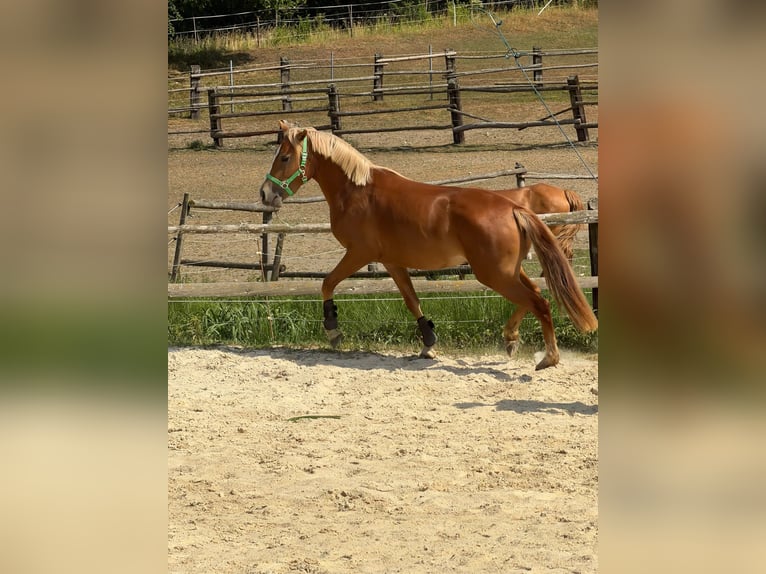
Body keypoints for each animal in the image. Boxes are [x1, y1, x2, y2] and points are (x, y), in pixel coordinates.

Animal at [260, 121, 597, 370]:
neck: (357, 192)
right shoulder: (392, 261)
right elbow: (412, 301)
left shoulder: (359, 253)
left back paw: (549, 357)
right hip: (507, 271)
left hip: (495, 274)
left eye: (285, 157)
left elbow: (327, 283)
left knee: (539, 302)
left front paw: (333, 330)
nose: (265, 194)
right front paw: (428, 343)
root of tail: (513, 207)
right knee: (535, 294)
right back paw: (510, 338)